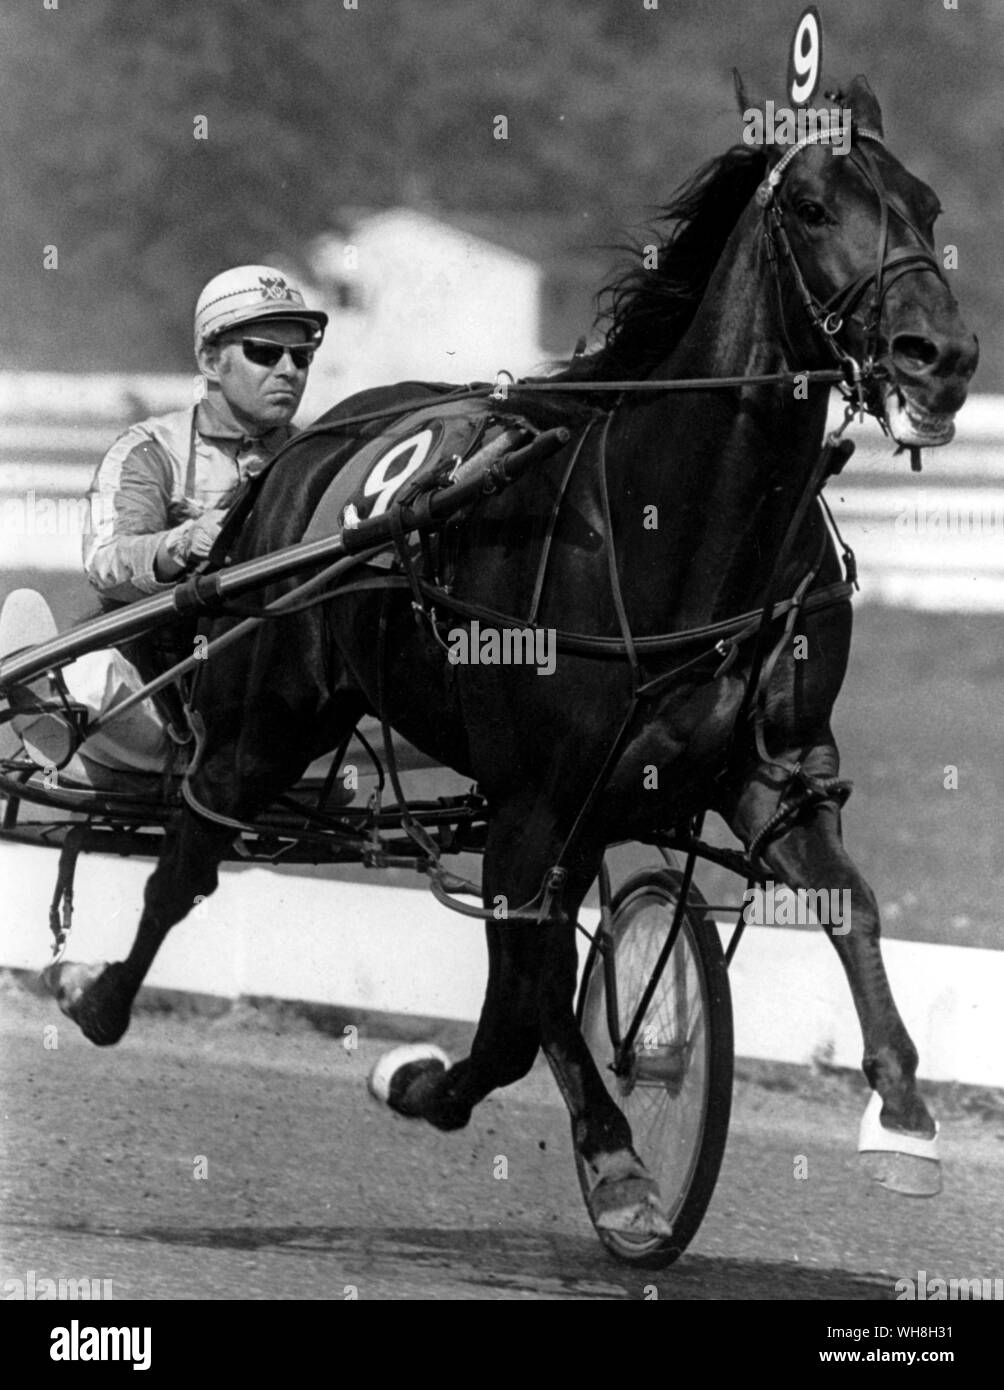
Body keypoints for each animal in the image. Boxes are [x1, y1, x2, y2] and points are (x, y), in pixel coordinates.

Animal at [49, 73, 967, 1239]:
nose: (939, 358)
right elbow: (515, 1012)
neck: (673, 527)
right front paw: (432, 1085)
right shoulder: (538, 799)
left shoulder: (770, 774)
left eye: (928, 206)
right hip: (265, 723)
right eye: (809, 208)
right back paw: (96, 996)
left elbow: (849, 905)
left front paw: (903, 1118)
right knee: (187, 860)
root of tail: (295, 456)